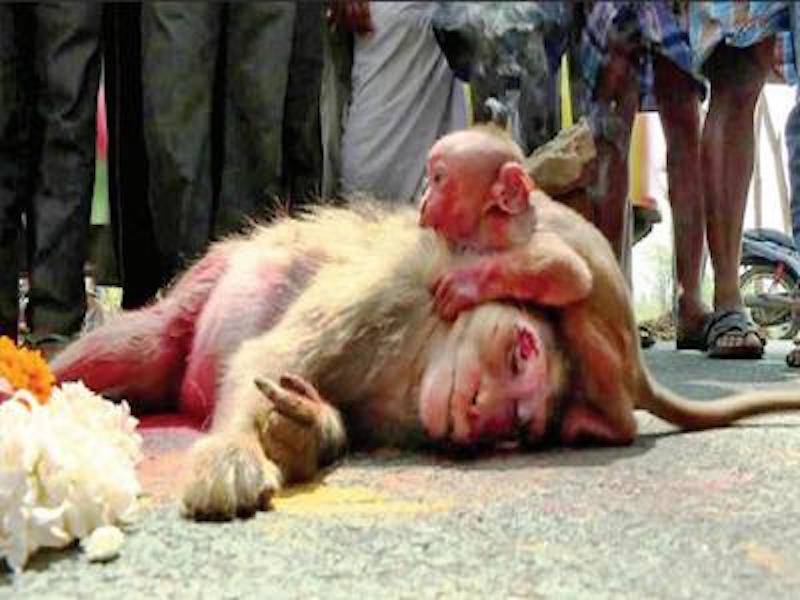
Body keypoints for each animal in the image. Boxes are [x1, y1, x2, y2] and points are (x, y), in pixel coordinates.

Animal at [51, 205, 573, 520]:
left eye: (520, 427)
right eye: (520, 353)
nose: (493, 411)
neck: (419, 353)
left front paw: (301, 427)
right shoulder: (388, 288)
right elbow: (266, 355)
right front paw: (234, 452)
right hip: (209, 275)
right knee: (141, 343)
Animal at [419, 124, 800, 446]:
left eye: (439, 177)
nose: (423, 197)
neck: (502, 221)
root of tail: (639, 378)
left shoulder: (530, 234)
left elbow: (569, 272)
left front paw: (465, 285)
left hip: (617, 374)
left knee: (577, 312)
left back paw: (611, 425)